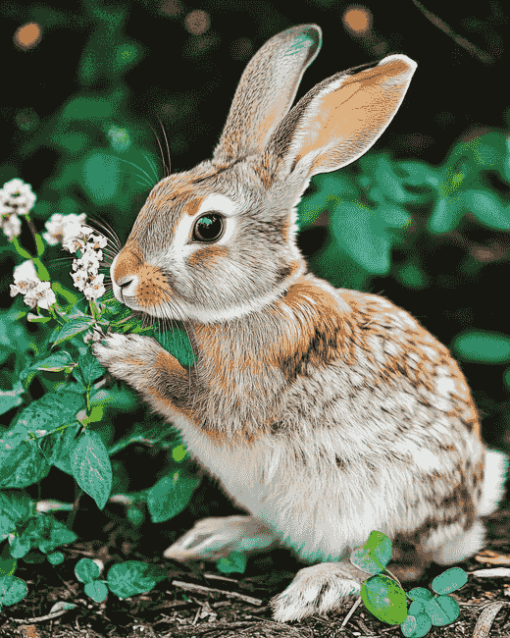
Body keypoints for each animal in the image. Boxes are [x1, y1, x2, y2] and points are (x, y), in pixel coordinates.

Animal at [93, 22, 508, 624]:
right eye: (158, 192)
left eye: (208, 227)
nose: (121, 277)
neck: (256, 303)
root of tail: (468, 515)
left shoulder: (242, 392)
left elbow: (191, 395)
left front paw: (121, 351)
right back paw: (215, 537)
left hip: (381, 507)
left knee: (395, 565)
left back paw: (314, 587)